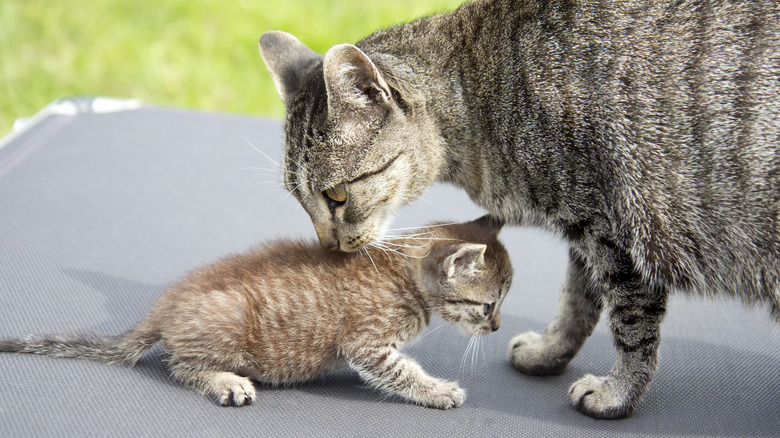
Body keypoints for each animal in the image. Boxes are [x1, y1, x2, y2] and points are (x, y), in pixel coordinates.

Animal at [0, 217, 512, 408]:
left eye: (501, 305)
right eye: (488, 304)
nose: (498, 326)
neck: (401, 273)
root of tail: (163, 307)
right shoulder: (367, 344)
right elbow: (402, 372)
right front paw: (438, 390)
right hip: (225, 324)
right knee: (179, 364)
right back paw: (225, 382)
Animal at [258, 0, 776, 420]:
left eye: (337, 196)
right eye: (300, 199)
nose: (327, 246)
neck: (479, 97)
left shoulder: (614, 231)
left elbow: (630, 325)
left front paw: (618, 394)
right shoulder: (586, 231)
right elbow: (577, 300)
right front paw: (551, 351)